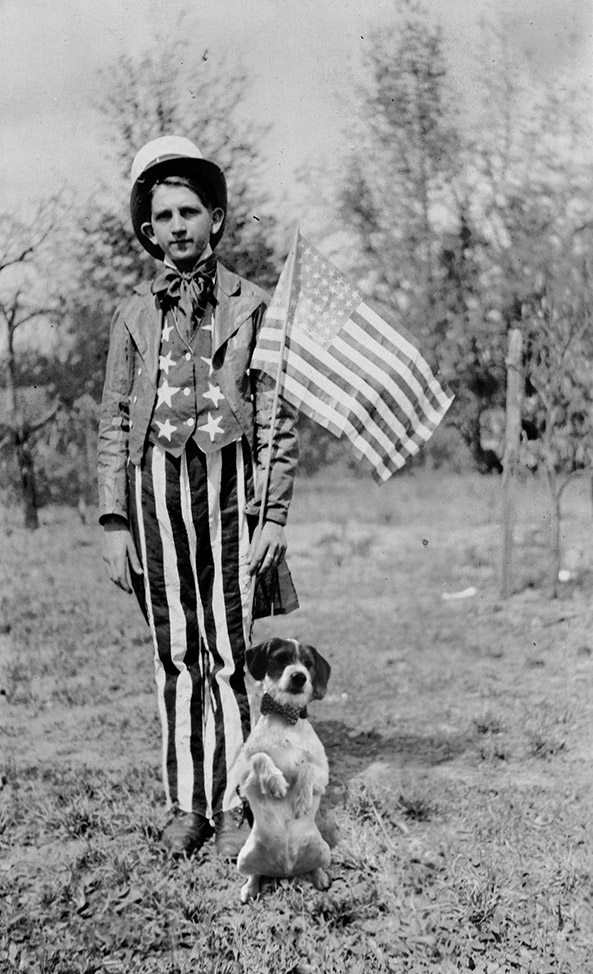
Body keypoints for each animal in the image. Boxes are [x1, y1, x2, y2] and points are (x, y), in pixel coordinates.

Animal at [232, 636, 332, 904]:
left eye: (308, 664)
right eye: (281, 659)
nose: (300, 677)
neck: (285, 718)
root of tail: (286, 870)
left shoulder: (323, 772)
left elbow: (307, 767)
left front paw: (301, 799)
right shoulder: (242, 777)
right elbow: (261, 756)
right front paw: (276, 783)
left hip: (324, 850)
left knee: (315, 866)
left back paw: (320, 878)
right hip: (243, 858)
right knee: (255, 874)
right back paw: (249, 889)